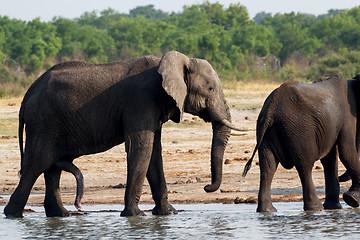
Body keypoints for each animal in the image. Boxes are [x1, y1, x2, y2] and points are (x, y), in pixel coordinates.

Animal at [4, 50, 239, 218]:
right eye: (210, 89)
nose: (207, 187)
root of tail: (28, 92)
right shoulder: (141, 101)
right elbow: (141, 148)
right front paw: (134, 216)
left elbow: (154, 152)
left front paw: (168, 213)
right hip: (43, 121)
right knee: (37, 165)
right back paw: (13, 215)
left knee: (52, 167)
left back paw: (61, 215)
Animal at [242, 76, 360, 212]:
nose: (340, 178)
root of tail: (272, 106)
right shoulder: (347, 118)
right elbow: (346, 153)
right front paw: (351, 200)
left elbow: (329, 159)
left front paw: (334, 208)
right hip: (299, 129)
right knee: (305, 166)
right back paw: (315, 208)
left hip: (264, 129)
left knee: (268, 167)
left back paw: (267, 210)